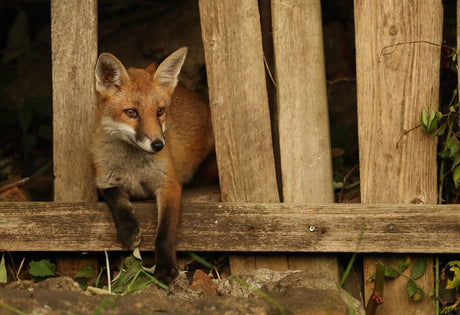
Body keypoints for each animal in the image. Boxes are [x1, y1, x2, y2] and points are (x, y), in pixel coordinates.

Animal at [93, 48, 216, 286]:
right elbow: (118, 202)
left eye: (159, 111)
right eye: (131, 112)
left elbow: (164, 234)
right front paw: (129, 230)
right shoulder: (104, 181)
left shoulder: (168, 184)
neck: (133, 168)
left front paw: (166, 268)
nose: (159, 145)